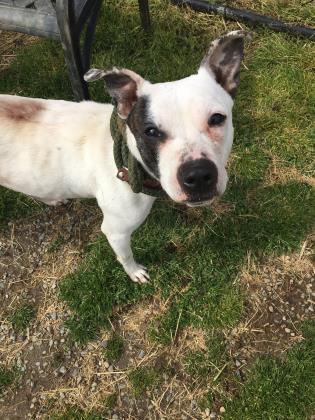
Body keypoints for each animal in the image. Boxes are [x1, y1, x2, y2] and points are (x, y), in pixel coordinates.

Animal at [0, 31, 251, 284]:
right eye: (151, 131)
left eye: (217, 118)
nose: (198, 175)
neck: (127, 158)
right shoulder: (116, 231)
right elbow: (126, 256)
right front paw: (135, 272)